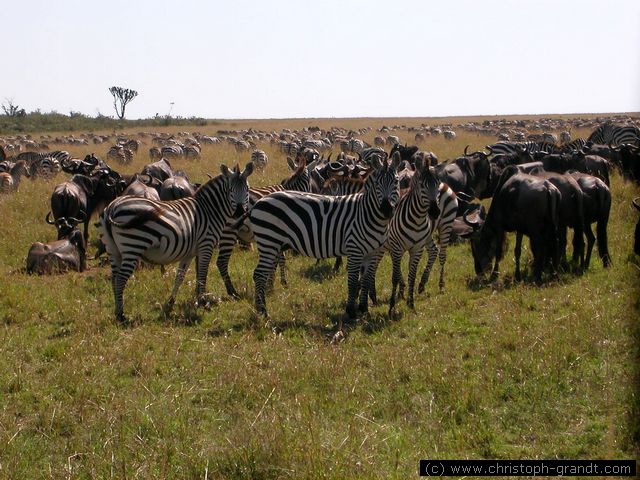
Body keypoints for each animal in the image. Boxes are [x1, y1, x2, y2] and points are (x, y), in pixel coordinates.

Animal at [99, 162, 254, 322]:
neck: (209, 210)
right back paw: (121, 315)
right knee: (120, 279)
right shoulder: (206, 245)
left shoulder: (190, 252)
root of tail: (112, 207)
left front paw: (171, 303)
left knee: (114, 278)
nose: (239, 212)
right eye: (230, 190)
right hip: (132, 246)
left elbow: (180, 277)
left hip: (113, 250)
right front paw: (204, 303)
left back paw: (117, 311)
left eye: (247, 189)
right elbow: (202, 274)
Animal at [216, 158, 312, 296]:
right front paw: (276, 284)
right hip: (228, 233)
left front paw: (271, 284)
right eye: (309, 181)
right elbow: (280, 260)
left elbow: (277, 260)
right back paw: (232, 292)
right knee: (221, 261)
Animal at [249, 152, 400, 320]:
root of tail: (261, 200)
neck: (367, 214)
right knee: (259, 274)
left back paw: (260, 308)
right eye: (377, 183)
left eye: (396, 181)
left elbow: (366, 280)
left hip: (273, 243)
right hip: (268, 241)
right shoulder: (354, 249)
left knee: (262, 272)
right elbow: (353, 281)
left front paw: (364, 309)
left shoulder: (372, 252)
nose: (386, 209)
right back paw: (263, 311)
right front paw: (351, 311)